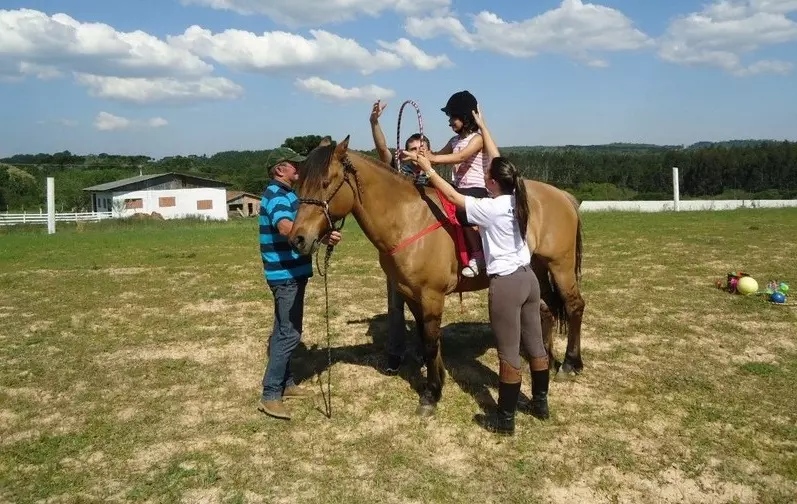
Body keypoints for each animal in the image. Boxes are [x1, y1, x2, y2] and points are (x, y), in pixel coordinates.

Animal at [288, 136, 584, 416]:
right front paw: (438, 381)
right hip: (538, 269)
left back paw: (570, 364)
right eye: (298, 185)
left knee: (574, 306)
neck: (407, 219)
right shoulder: (411, 294)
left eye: (326, 182)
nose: (297, 239)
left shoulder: (432, 296)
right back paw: (547, 357)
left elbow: (430, 343)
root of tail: (563, 196)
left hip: (560, 267)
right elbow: (425, 337)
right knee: (547, 310)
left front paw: (431, 394)